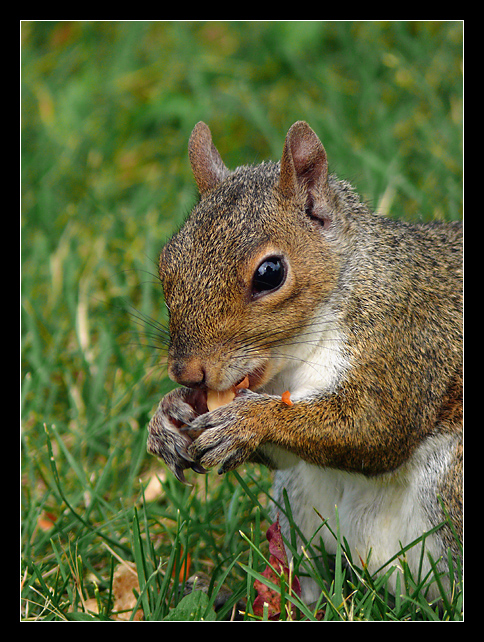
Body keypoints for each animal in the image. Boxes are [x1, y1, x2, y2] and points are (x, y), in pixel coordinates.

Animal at [147, 121, 462, 603]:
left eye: (270, 273)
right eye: (168, 261)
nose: (187, 372)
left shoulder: (403, 341)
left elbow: (373, 427)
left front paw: (249, 420)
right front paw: (168, 416)